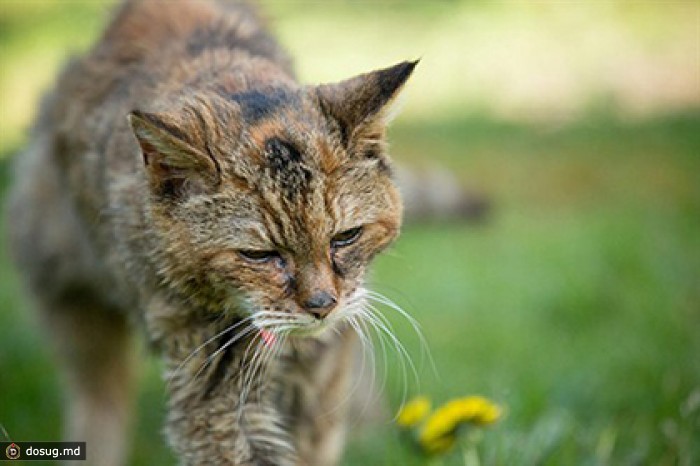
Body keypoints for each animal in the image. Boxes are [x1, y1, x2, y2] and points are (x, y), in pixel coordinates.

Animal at [8, 0, 426, 466]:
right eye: (259, 255)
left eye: (345, 237)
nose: (321, 305)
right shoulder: (211, 382)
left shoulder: (320, 371)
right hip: (70, 293)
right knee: (99, 392)